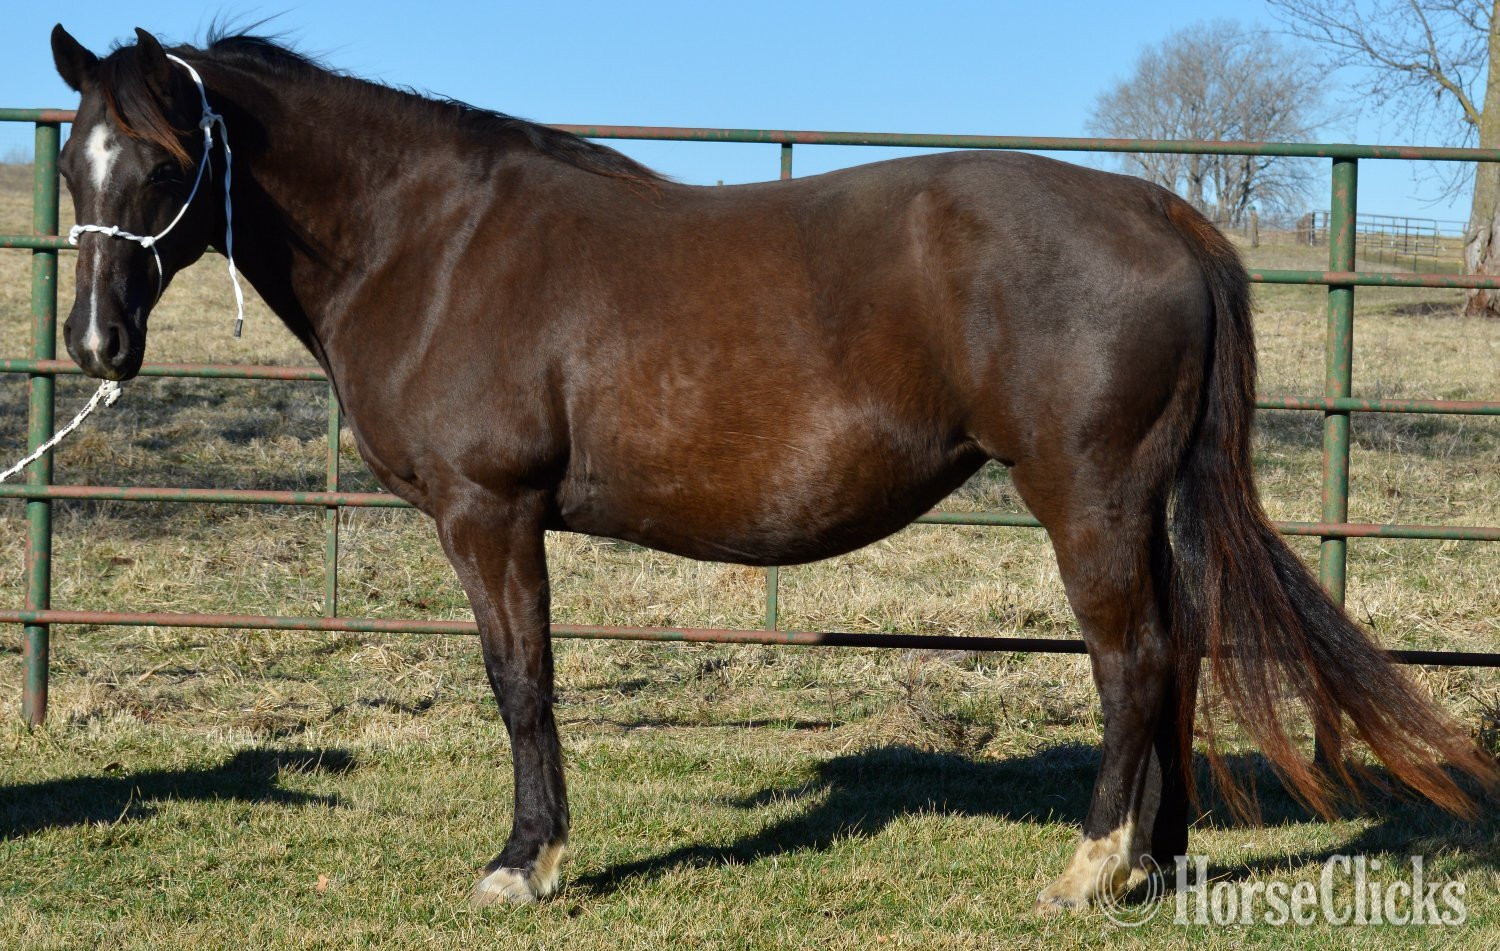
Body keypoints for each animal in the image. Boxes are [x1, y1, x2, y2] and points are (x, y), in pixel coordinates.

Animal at [46, 25, 1496, 909]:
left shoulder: (488, 515)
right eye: (71, 161)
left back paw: (1090, 866)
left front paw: (528, 859)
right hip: (1139, 505)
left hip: (1087, 499)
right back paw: (1159, 858)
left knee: (1134, 658)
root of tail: (1162, 209)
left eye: (166, 162)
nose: (93, 344)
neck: (432, 240)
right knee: (1181, 648)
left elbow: (522, 681)